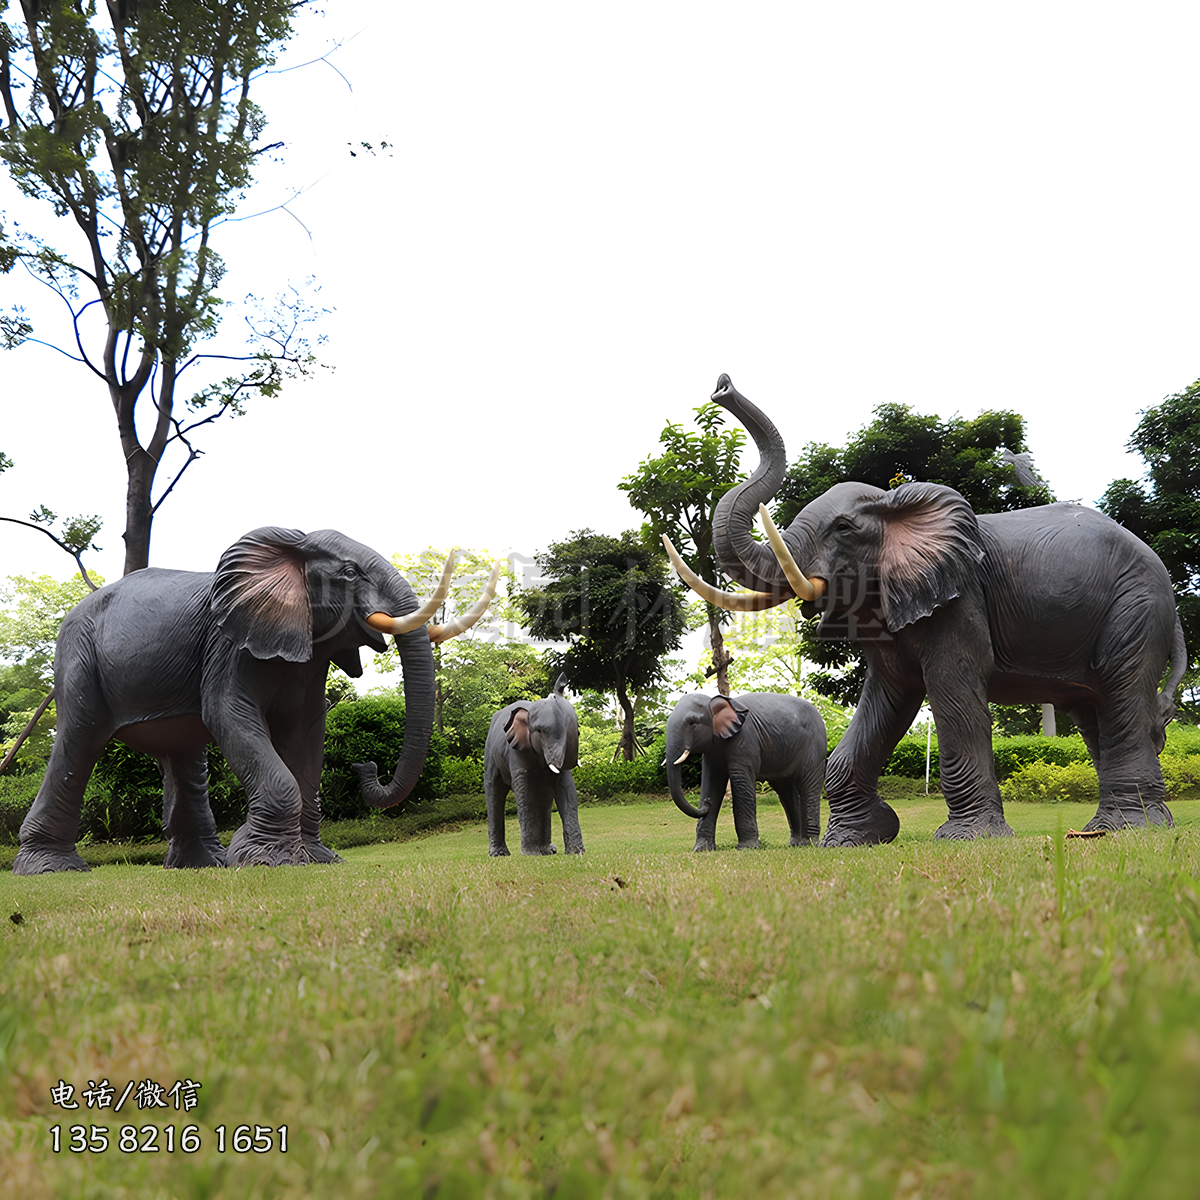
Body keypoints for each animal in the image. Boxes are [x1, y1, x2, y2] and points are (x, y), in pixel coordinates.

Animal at [13, 528, 497, 873]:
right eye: (349, 573)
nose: (366, 765)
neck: (290, 550)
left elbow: (306, 734)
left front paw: (316, 860)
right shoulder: (228, 644)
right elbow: (229, 713)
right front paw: (267, 860)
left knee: (182, 753)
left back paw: (201, 866)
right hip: (78, 655)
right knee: (80, 739)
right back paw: (51, 869)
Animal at [484, 675, 584, 856]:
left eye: (578, 732)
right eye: (540, 732)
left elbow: (566, 788)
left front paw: (576, 853)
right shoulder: (516, 750)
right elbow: (526, 790)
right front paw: (531, 854)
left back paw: (549, 850)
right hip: (490, 753)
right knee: (494, 789)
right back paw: (499, 854)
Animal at [665, 691, 826, 851]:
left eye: (692, 722)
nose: (706, 803)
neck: (714, 700)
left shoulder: (745, 739)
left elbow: (740, 782)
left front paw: (746, 848)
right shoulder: (712, 748)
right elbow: (712, 782)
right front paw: (701, 850)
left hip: (814, 745)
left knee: (808, 785)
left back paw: (811, 844)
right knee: (786, 791)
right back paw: (799, 844)